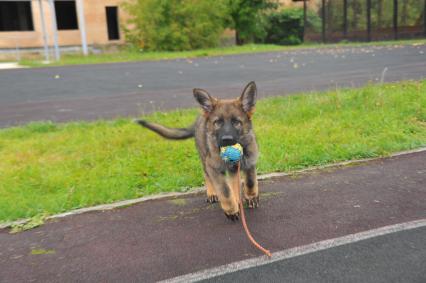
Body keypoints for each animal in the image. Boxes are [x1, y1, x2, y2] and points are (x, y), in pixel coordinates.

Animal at [135, 82, 258, 222]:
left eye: (236, 122)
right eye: (218, 122)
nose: (226, 140)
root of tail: (200, 117)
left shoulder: (250, 161)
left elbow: (250, 181)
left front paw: (251, 197)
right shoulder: (213, 167)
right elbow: (224, 190)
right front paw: (231, 210)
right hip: (205, 158)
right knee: (207, 175)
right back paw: (213, 193)